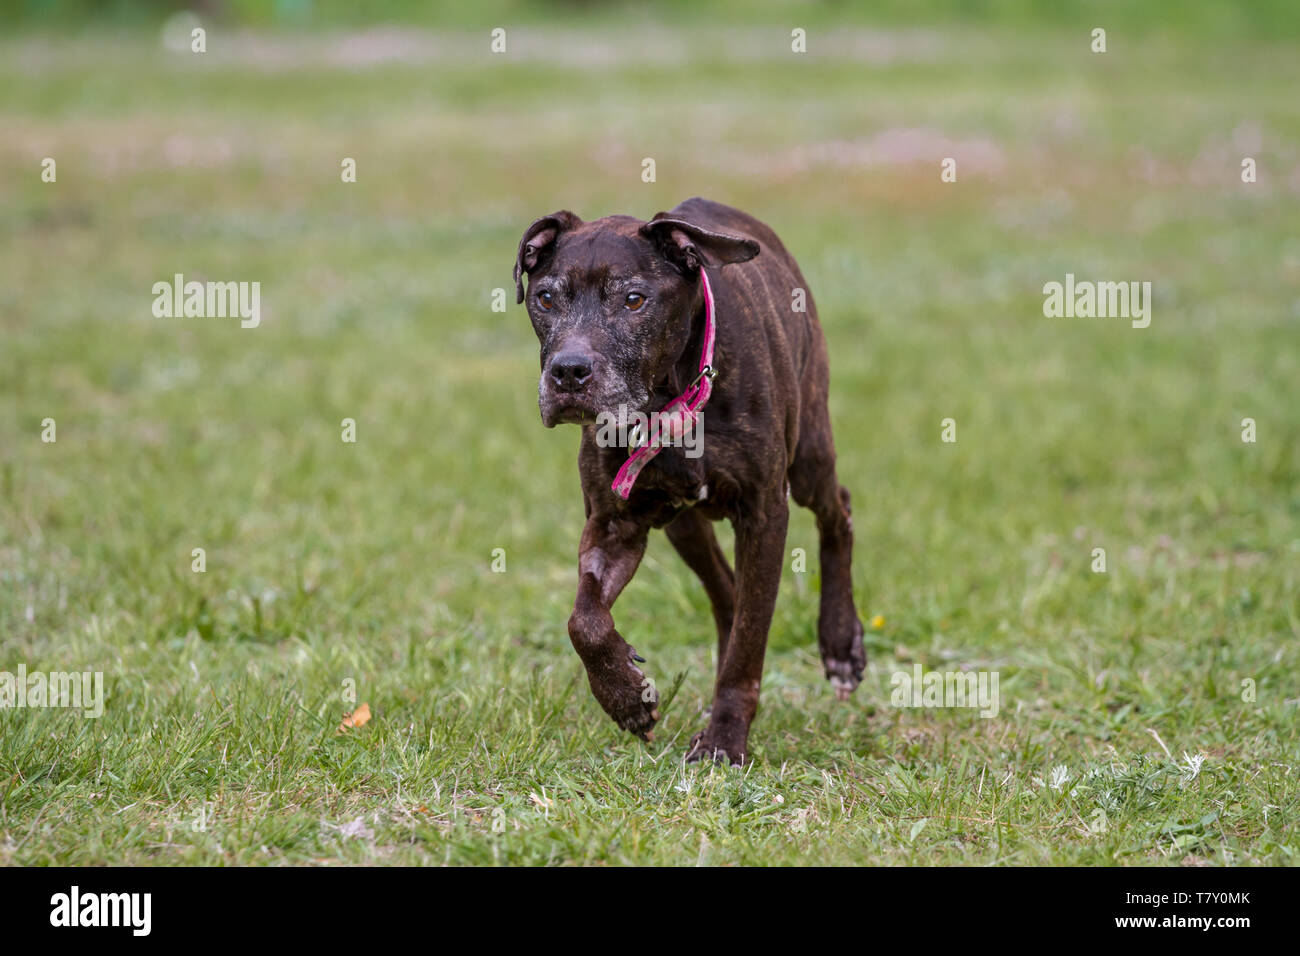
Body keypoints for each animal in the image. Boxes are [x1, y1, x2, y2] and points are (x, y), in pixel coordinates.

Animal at [514, 196, 863, 764]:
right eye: (545, 298)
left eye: (634, 300)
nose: (568, 372)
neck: (666, 400)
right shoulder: (614, 525)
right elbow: (584, 620)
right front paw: (625, 696)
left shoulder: (765, 514)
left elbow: (750, 643)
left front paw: (724, 741)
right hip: (684, 527)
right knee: (726, 593)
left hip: (809, 455)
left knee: (839, 513)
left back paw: (840, 641)